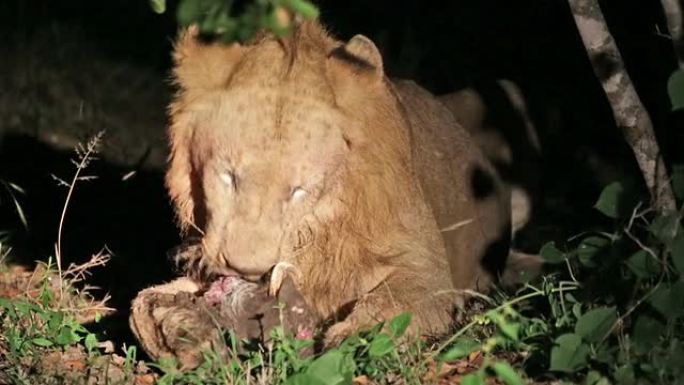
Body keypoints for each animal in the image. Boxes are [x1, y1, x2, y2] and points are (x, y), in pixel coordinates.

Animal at [131, 20, 536, 364]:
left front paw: (353, 340)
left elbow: (396, 304)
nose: (246, 270)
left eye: (298, 191)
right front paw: (179, 326)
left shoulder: (427, 271)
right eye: (229, 177)